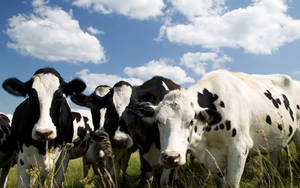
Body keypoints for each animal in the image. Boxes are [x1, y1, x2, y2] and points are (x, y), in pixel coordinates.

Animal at [137, 70, 300, 187]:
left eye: (191, 121)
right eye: (158, 121)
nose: (171, 157)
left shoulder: (240, 149)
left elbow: (231, 183)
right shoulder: (213, 159)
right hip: (276, 141)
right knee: (276, 161)